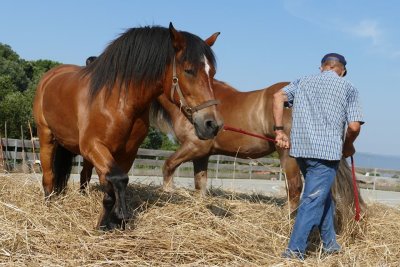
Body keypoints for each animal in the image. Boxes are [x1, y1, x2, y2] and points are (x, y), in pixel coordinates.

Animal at [32, 23, 223, 230]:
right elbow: (118, 180)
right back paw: (48, 207)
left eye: (212, 73)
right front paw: (117, 217)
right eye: (188, 70)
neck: (118, 101)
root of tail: (50, 76)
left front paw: (110, 221)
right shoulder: (93, 145)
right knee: (49, 177)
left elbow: (113, 185)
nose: (212, 124)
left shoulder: (128, 153)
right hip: (47, 137)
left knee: (84, 175)